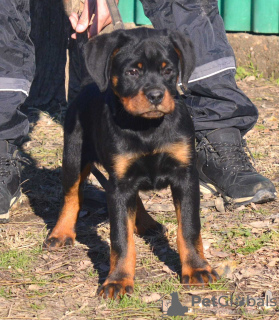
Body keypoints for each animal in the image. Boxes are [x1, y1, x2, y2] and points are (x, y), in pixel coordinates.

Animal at [44, 28, 220, 300]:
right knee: (71, 195)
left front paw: (197, 268)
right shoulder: (120, 183)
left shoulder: (185, 176)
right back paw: (60, 233)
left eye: (168, 70)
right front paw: (117, 280)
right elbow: (121, 237)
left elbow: (189, 228)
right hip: (73, 155)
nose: (156, 95)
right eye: (132, 72)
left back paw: (146, 222)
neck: (146, 128)